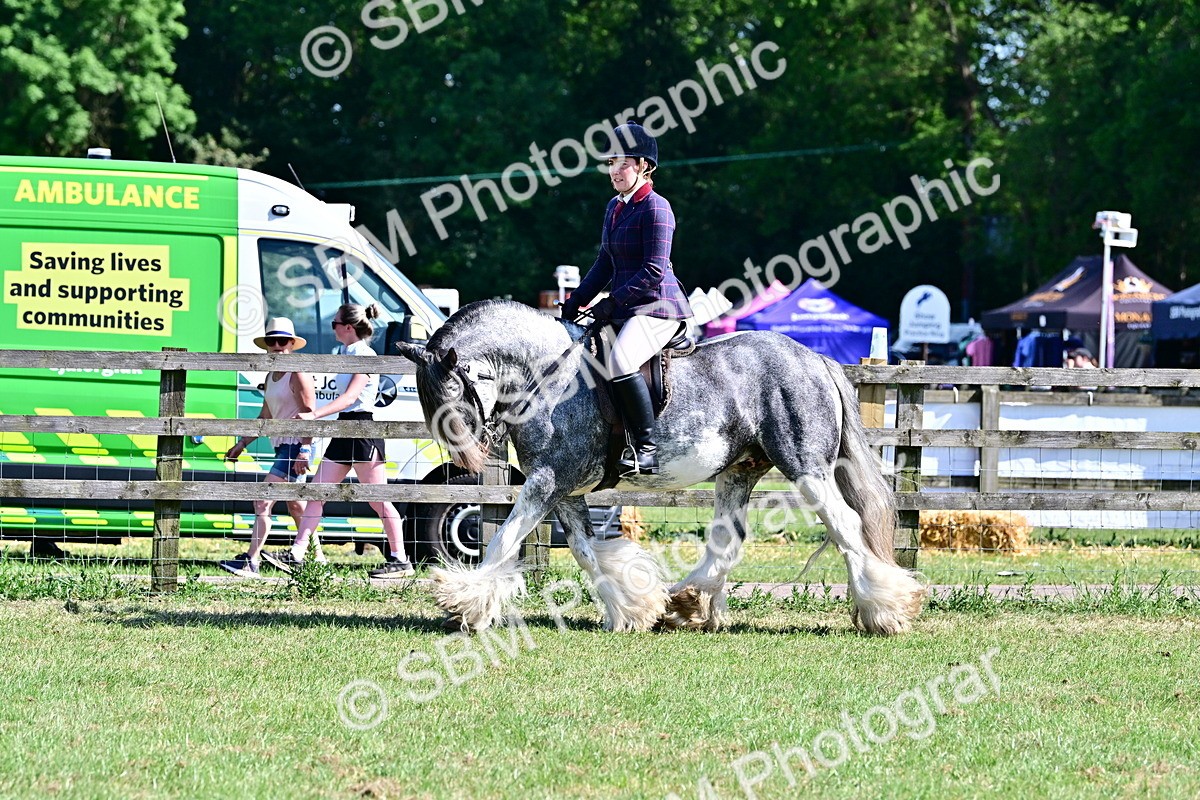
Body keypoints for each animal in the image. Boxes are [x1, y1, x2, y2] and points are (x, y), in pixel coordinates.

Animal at [395, 299, 925, 635]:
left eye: (453, 395)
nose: (467, 458)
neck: (548, 374)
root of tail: (815, 358)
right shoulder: (564, 490)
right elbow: (587, 552)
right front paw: (629, 611)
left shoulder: (546, 483)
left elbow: (503, 540)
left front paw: (463, 605)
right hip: (740, 469)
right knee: (727, 538)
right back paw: (689, 604)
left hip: (805, 467)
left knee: (847, 525)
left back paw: (884, 612)